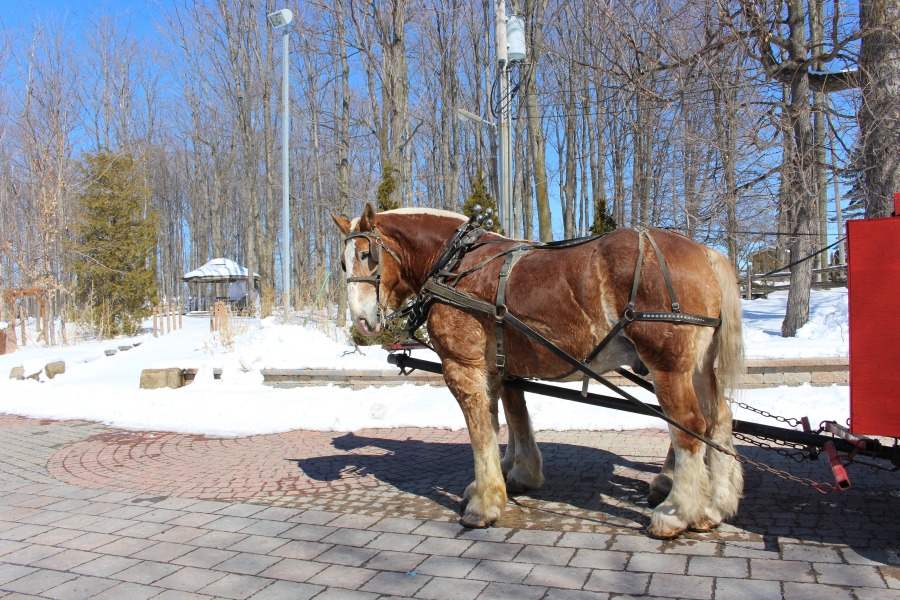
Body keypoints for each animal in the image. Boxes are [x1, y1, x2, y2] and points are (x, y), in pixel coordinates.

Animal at [334, 203, 740, 540]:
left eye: (368, 256)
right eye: (342, 263)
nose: (362, 321)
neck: (455, 265)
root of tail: (704, 251)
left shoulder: (463, 366)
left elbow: (481, 432)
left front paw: (485, 503)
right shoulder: (502, 365)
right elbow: (511, 418)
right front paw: (517, 473)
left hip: (667, 365)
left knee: (688, 426)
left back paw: (677, 512)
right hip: (699, 366)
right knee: (718, 419)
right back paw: (715, 505)